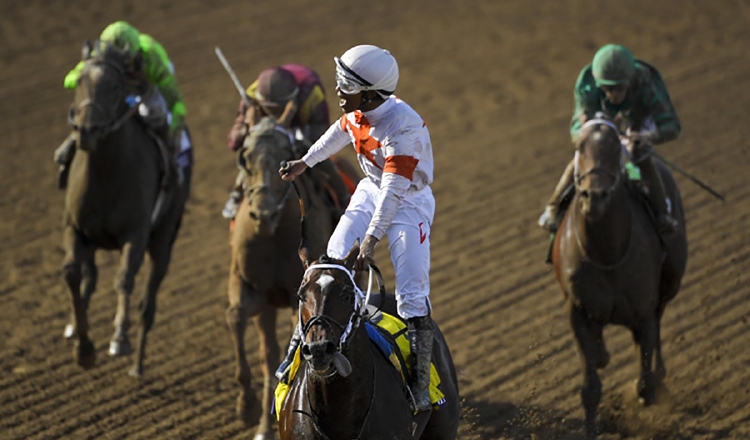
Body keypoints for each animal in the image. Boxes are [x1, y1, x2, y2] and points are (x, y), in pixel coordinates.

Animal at [62, 43, 191, 376]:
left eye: (115, 87)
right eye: (80, 82)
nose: (87, 131)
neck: (105, 174)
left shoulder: (136, 233)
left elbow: (123, 279)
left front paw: (119, 337)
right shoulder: (75, 228)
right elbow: (72, 274)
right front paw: (83, 347)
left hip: (164, 239)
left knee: (148, 303)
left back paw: (138, 365)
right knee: (89, 277)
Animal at [225, 114, 334, 440]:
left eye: (285, 154)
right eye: (245, 158)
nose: (263, 214)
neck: (272, 237)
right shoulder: (250, 289)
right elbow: (235, 318)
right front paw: (245, 405)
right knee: (268, 355)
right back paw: (264, 426)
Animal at [556, 118, 692, 438]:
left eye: (615, 148)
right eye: (580, 147)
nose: (594, 196)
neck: (607, 255)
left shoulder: (643, 311)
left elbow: (645, 384)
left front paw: (647, 388)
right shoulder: (578, 313)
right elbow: (590, 389)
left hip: (670, 282)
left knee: (657, 329)